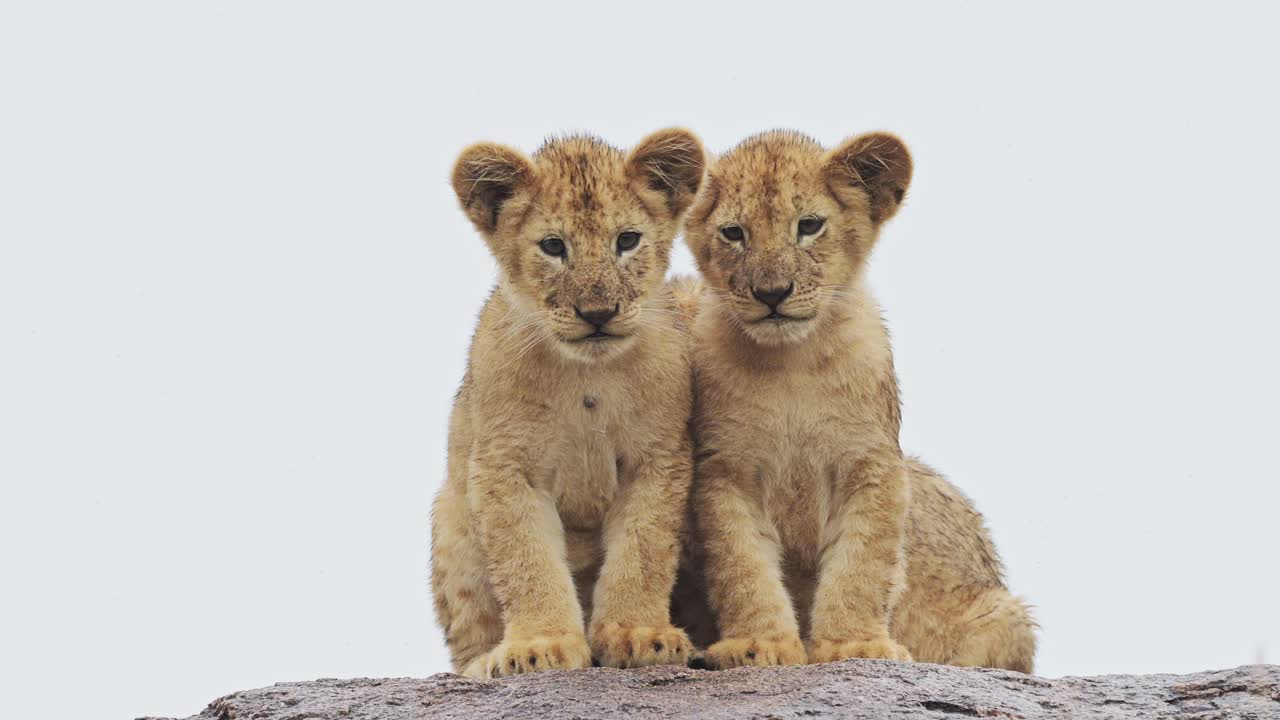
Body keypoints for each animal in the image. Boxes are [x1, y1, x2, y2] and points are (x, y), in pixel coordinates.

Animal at [430, 129, 705, 677]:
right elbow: (526, 558)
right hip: (450, 524)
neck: (588, 378)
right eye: (553, 246)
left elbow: (642, 551)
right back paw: (482, 663)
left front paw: (638, 634)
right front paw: (541, 645)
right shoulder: (505, 463)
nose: (598, 313)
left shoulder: (659, 458)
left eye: (627, 240)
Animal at [680, 130, 1037, 672]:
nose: (771, 293)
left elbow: (862, 563)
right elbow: (743, 566)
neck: (791, 363)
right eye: (734, 233)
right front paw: (759, 644)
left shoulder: (872, 465)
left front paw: (854, 644)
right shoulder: (725, 471)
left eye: (809, 225)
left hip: (1006, 616)